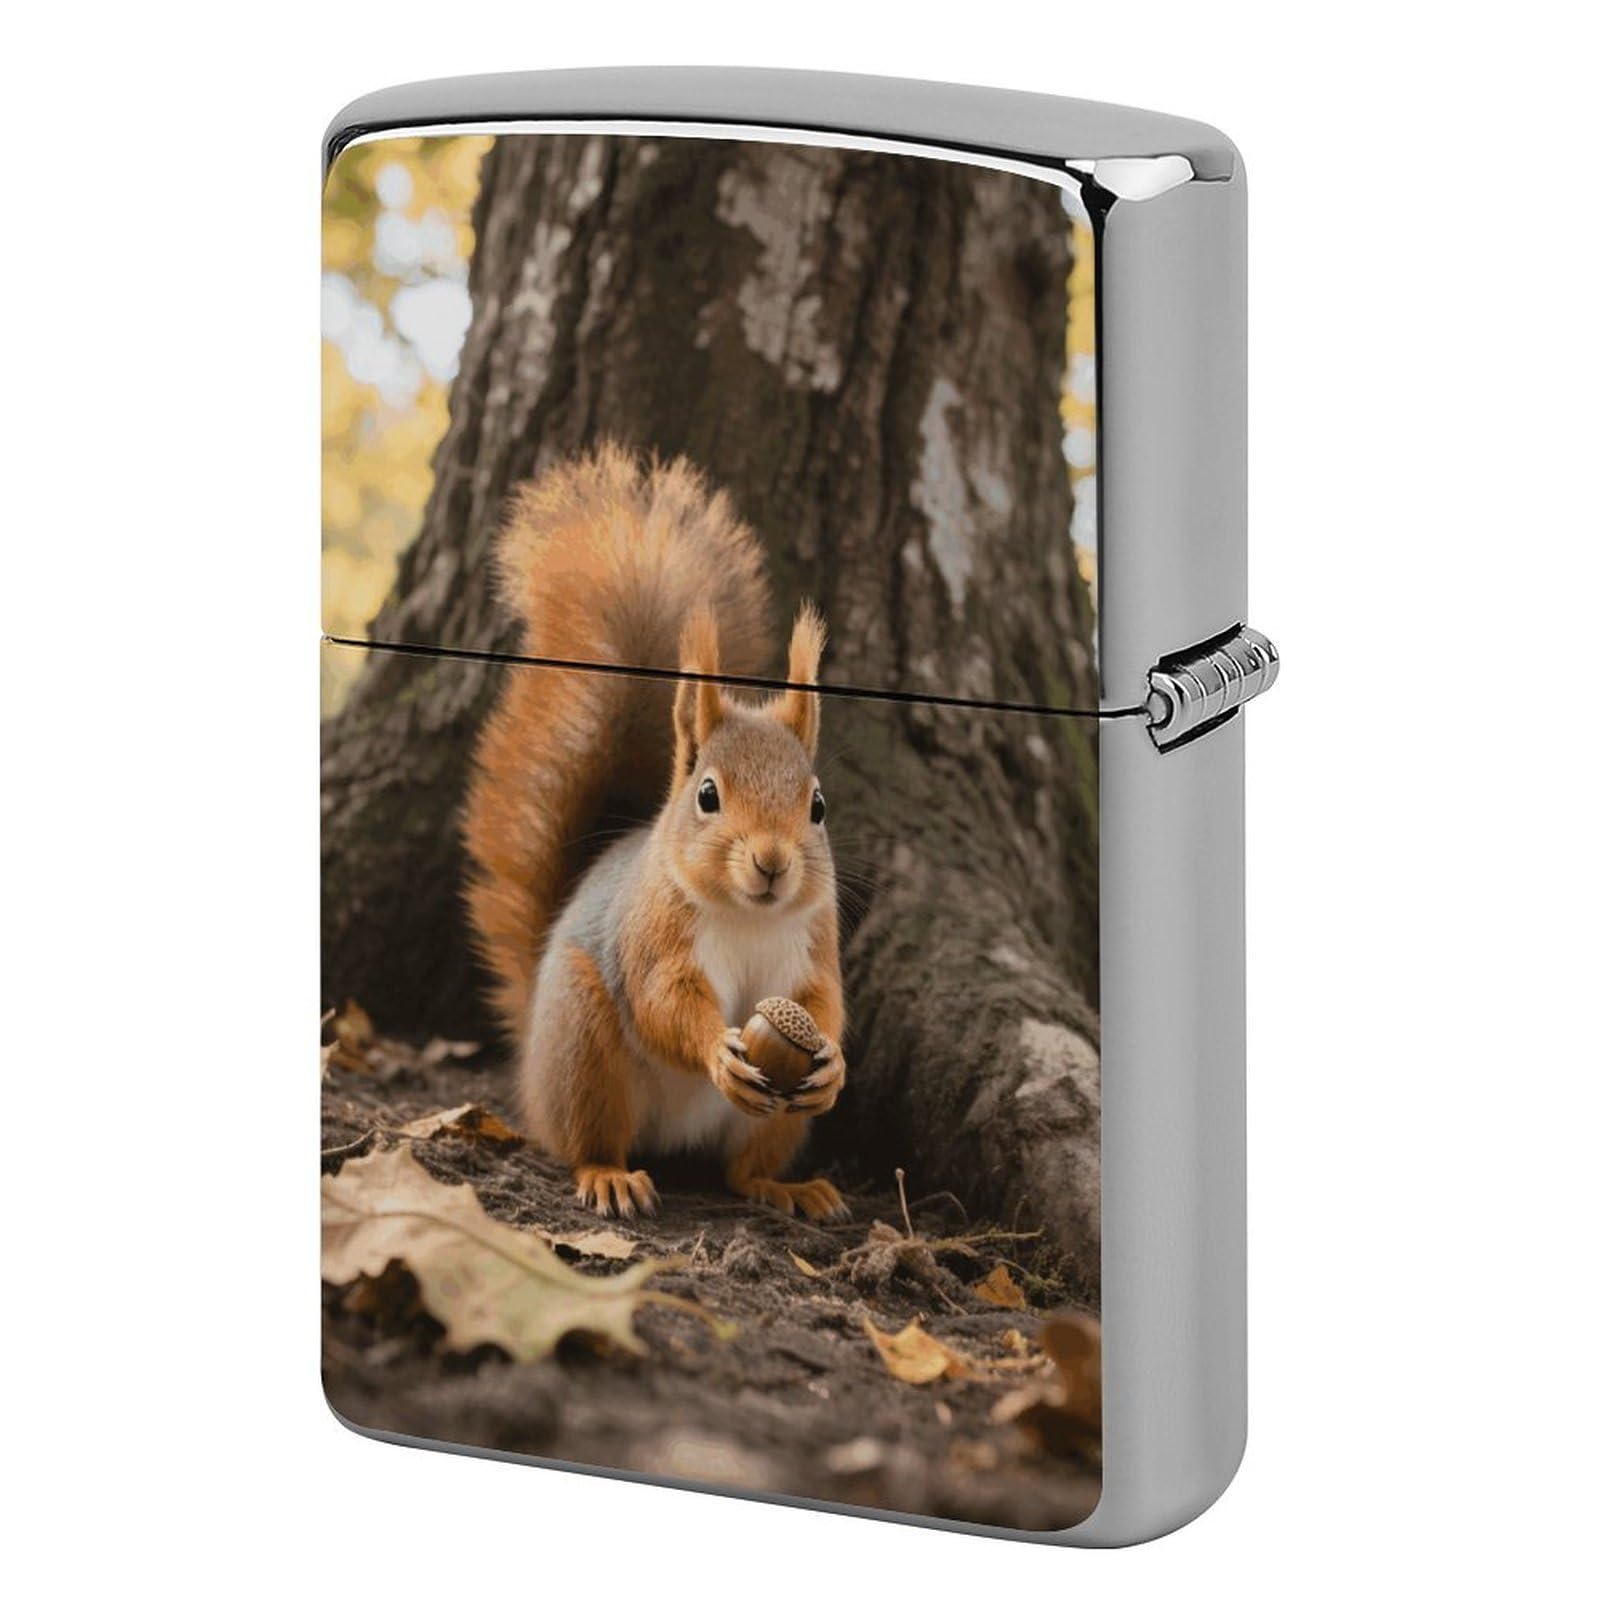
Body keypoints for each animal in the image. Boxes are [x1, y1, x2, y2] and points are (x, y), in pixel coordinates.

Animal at [462, 444, 848, 1222]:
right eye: (707, 795)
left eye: (818, 806)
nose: (771, 863)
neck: (748, 917)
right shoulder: (655, 931)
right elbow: (663, 1000)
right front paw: (715, 1050)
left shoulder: (815, 940)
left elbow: (827, 1000)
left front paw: (834, 1064)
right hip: (584, 1047)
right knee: (589, 1138)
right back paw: (610, 1175)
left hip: (773, 1124)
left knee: (742, 1170)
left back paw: (784, 1187)